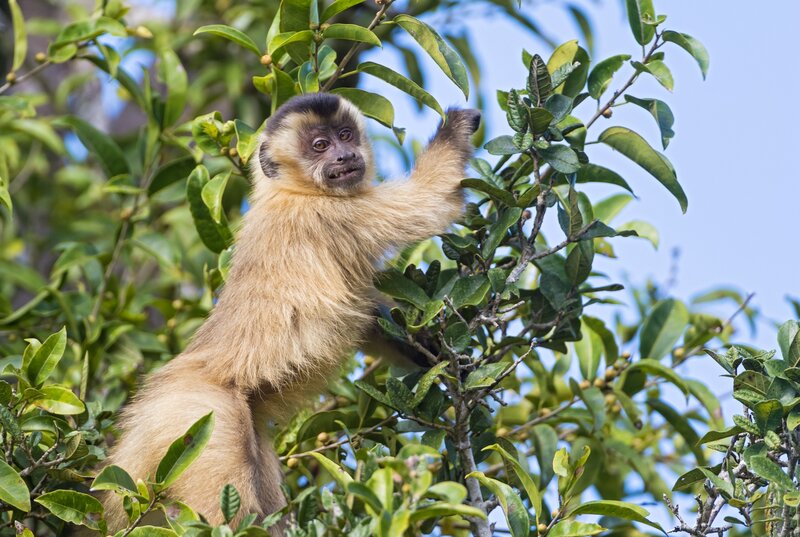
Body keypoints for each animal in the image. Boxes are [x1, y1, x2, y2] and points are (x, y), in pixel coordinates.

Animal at [102, 92, 480, 531]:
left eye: (345, 135)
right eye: (320, 146)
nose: (345, 155)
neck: (293, 192)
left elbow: (371, 317)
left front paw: (440, 356)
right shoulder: (333, 215)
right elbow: (435, 200)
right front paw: (459, 124)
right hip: (199, 419)